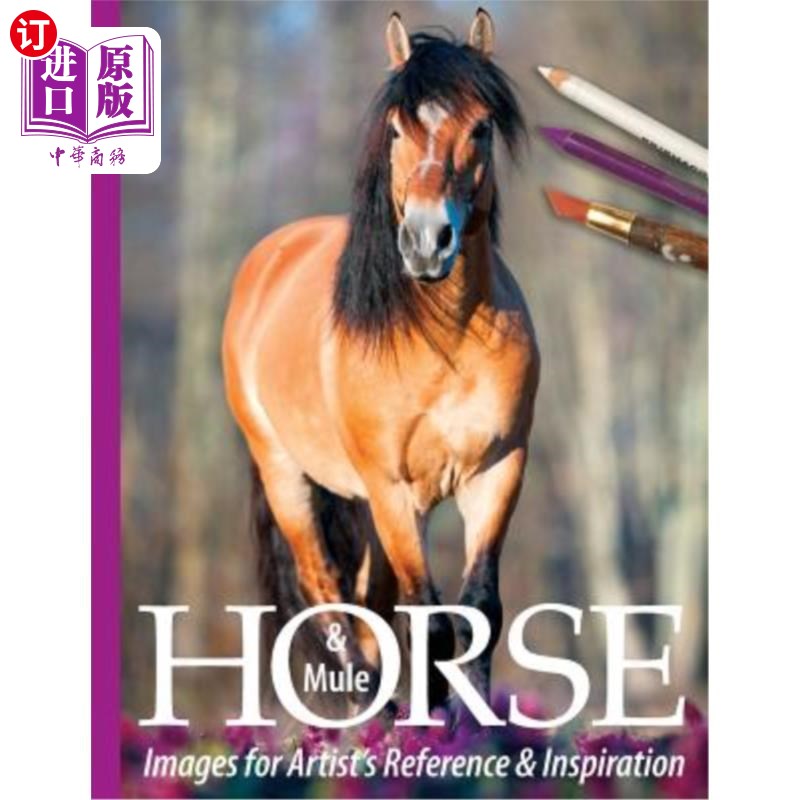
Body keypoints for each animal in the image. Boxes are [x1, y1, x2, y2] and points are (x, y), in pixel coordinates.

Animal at [222, 8, 539, 716]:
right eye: (397, 128)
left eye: (480, 126)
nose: (427, 242)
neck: (444, 338)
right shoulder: (396, 492)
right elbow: (431, 620)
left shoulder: (497, 472)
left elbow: (479, 611)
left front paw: (478, 729)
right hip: (289, 478)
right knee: (327, 596)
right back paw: (370, 720)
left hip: (365, 505)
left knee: (368, 608)